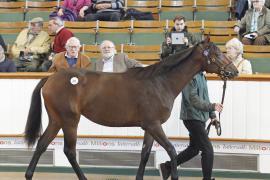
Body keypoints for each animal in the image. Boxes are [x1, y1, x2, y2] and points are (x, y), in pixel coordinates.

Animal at [24, 38, 237, 180]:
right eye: (217, 54)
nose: (234, 71)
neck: (160, 82)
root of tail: (50, 78)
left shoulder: (150, 127)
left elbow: (145, 154)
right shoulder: (154, 125)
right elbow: (171, 150)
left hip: (56, 120)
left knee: (42, 144)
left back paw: (29, 174)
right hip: (69, 121)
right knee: (69, 151)